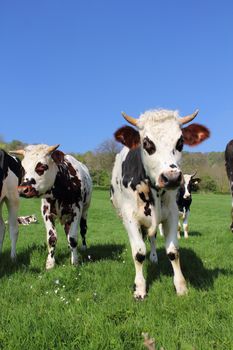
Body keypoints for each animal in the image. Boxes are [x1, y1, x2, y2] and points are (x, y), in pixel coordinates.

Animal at [110, 108, 209, 298]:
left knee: (153, 237)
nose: (172, 177)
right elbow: (139, 253)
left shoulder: (172, 214)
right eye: (146, 143)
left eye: (180, 142)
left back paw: (154, 258)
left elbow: (173, 251)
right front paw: (140, 288)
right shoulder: (130, 218)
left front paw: (181, 287)